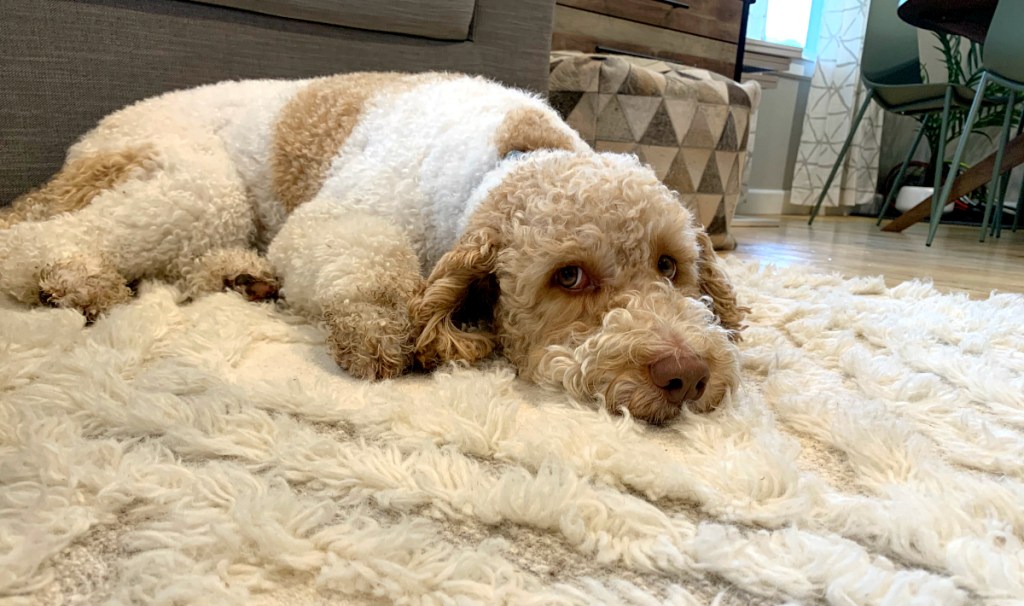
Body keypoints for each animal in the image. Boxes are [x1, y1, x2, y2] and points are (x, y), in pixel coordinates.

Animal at [0, 72, 745, 421]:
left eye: (670, 265)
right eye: (569, 277)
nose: (686, 375)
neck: (510, 154)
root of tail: (91, 140)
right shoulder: (335, 219)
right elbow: (375, 267)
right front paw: (380, 328)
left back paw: (243, 277)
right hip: (197, 189)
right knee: (35, 237)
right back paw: (71, 281)